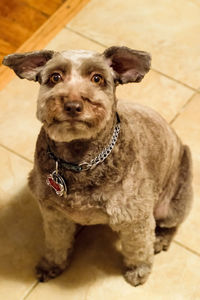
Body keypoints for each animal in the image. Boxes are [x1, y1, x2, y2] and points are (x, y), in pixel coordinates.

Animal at [3, 46, 193, 286]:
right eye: (55, 77)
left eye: (97, 78)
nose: (73, 105)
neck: (81, 160)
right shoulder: (53, 213)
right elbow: (56, 242)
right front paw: (51, 264)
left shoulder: (135, 219)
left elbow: (139, 248)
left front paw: (138, 270)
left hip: (174, 199)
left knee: (172, 224)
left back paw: (160, 239)